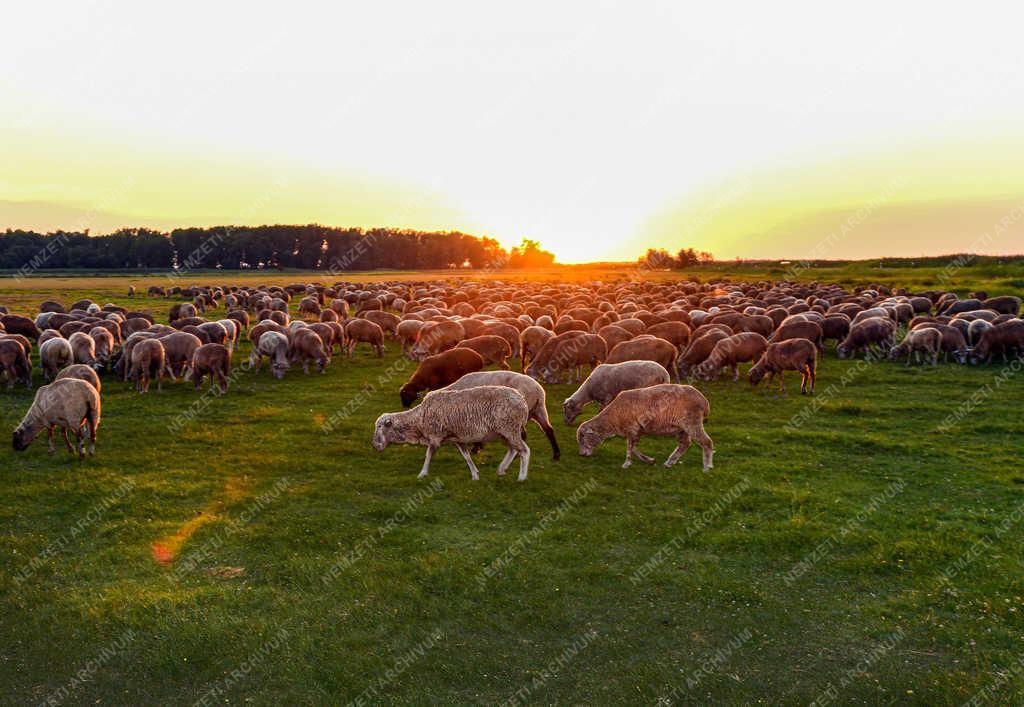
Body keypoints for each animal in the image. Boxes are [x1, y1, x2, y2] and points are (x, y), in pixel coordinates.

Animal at [376, 385, 536, 479]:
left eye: (381, 427)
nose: (376, 446)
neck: (419, 420)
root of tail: (522, 400)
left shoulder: (435, 437)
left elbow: (428, 455)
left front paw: (422, 474)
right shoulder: (458, 438)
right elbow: (466, 457)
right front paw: (475, 475)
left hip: (510, 428)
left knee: (524, 450)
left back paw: (521, 478)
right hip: (504, 432)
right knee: (513, 450)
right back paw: (502, 469)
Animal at [577, 379, 712, 467]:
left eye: (583, 439)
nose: (581, 455)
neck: (613, 418)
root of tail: (704, 400)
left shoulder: (631, 428)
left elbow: (630, 448)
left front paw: (626, 463)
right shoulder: (636, 430)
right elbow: (634, 448)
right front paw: (649, 460)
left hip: (692, 421)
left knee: (706, 442)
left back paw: (707, 467)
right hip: (682, 428)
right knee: (684, 444)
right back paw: (670, 462)